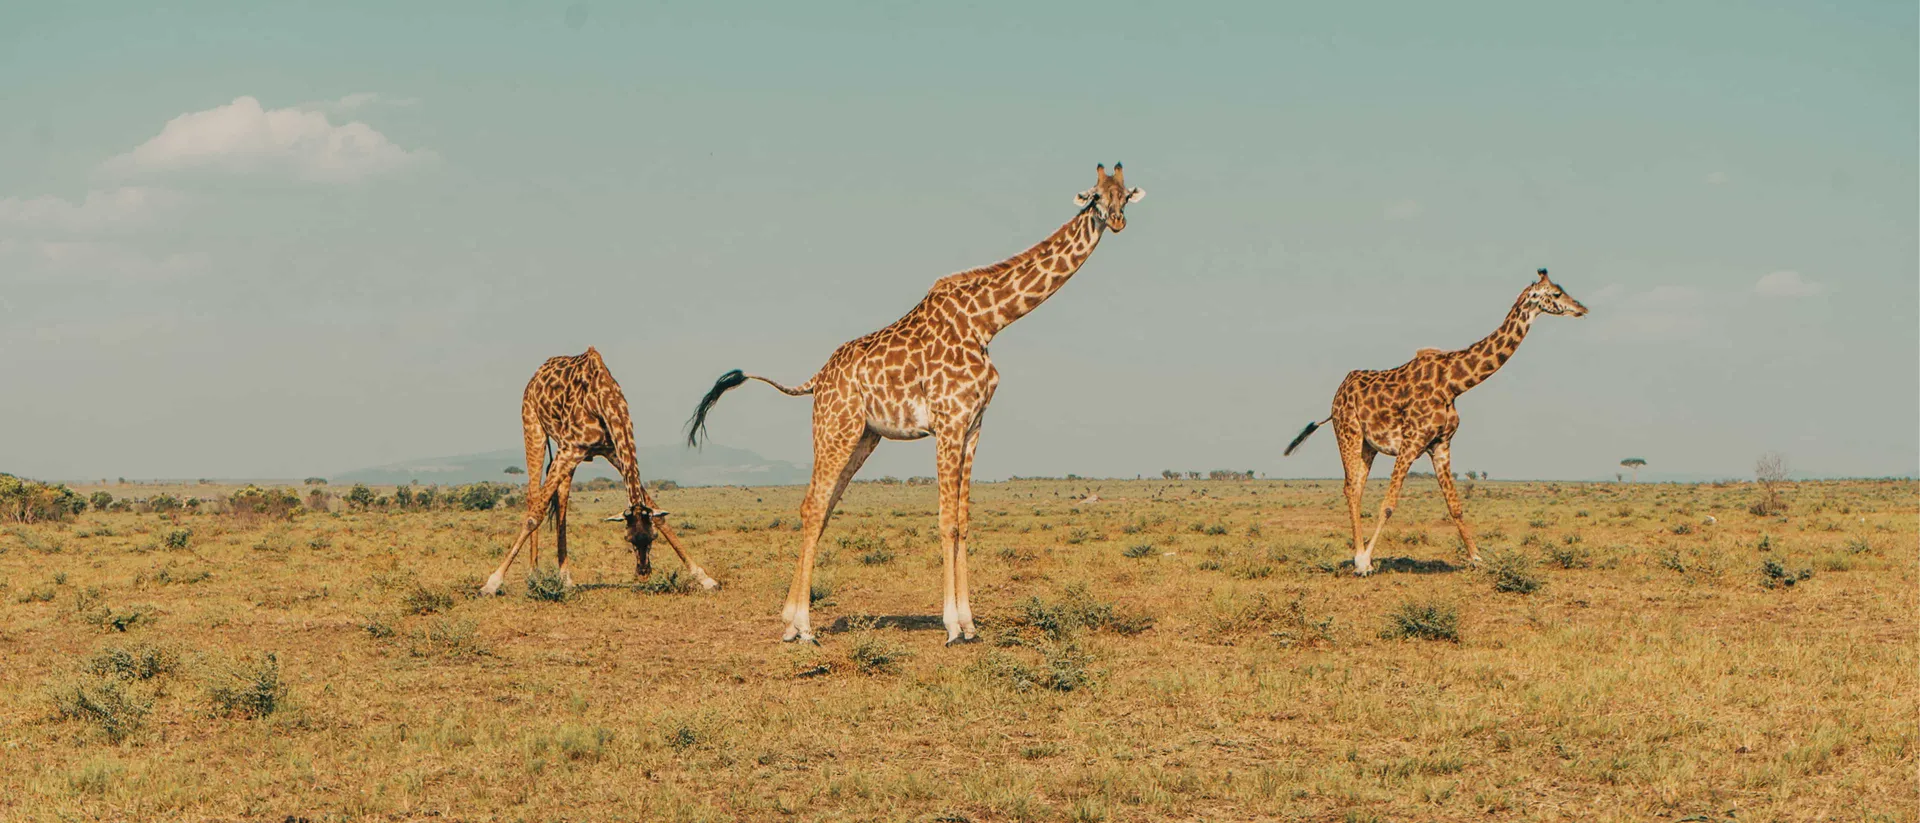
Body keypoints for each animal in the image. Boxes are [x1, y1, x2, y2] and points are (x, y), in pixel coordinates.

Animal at [480, 347, 718, 595]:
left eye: (652, 537)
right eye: (627, 538)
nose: (643, 572)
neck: (605, 400)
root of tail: (538, 372)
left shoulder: (611, 450)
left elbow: (658, 514)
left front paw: (705, 578)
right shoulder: (570, 449)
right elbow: (534, 516)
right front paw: (492, 582)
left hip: (564, 451)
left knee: (561, 499)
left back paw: (565, 577)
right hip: (533, 425)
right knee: (533, 497)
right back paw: (534, 574)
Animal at [686, 163, 1144, 644]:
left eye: (1124, 195)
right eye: (1095, 196)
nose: (1116, 221)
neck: (988, 321)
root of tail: (817, 379)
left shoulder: (974, 425)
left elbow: (964, 520)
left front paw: (970, 623)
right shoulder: (949, 421)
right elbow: (946, 521)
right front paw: (953, 626)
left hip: (864, 437)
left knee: (823, 508)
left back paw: (791, 623)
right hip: (835, 428)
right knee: (812, 505)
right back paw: (804, 627)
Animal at [1283, 269, 1587, 576]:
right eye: (1557, 293)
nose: (1582, 309)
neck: (1453, 383)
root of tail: (1338, 393)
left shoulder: (1441, 444)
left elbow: (1455, 505)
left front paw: (1477, 558)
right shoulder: (1411, 441)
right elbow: (1388, 504)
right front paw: (1366, 560)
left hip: (1368, 445)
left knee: (1356, 488)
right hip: (1348, 432)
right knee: (1350, 488)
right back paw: (1359, 560)